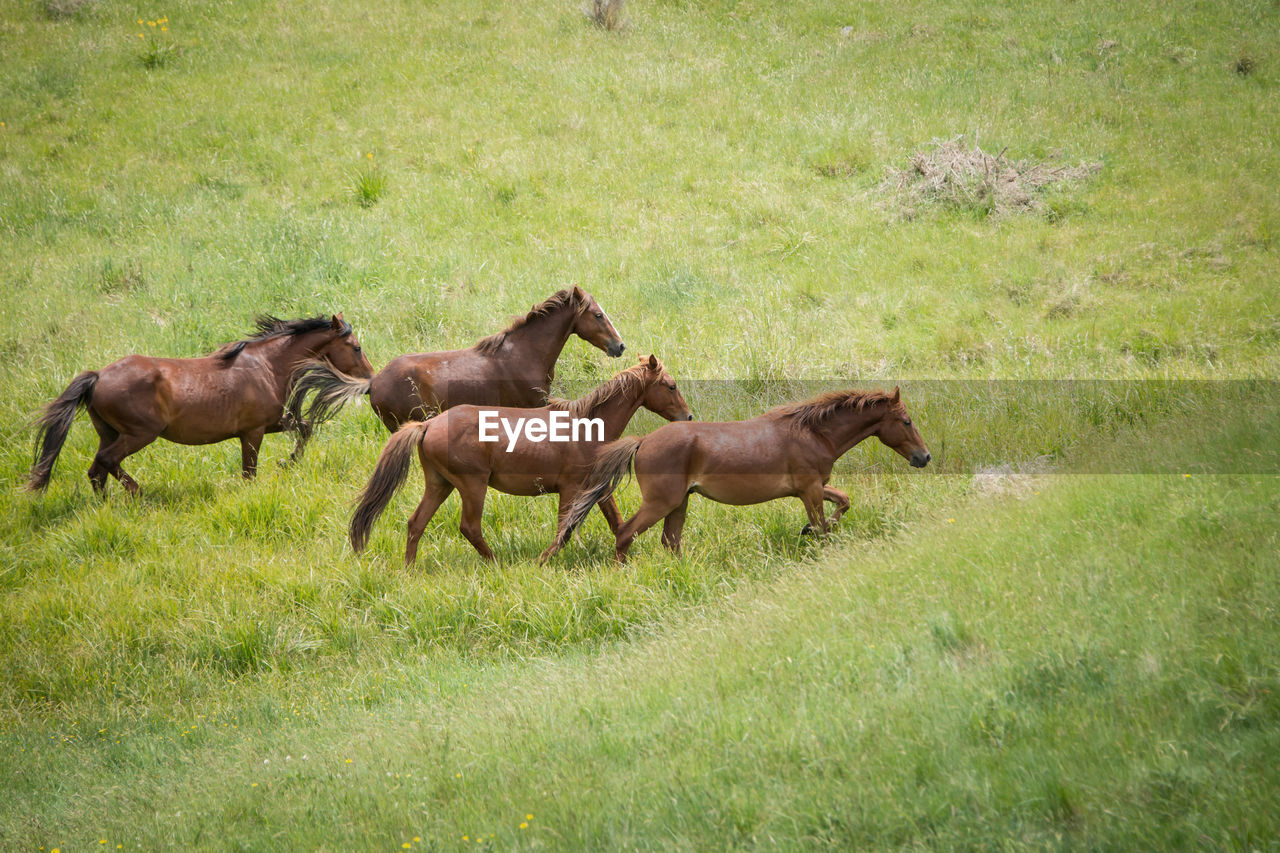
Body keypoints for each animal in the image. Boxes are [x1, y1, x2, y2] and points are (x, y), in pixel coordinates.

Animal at [27, 315, 373, 494]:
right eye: (356, 347)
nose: (371, 381)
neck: (268, 366)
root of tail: (97, 376)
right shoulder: (253, 431)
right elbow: (249, 471)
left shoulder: (273, 422)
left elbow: (305, 429)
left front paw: (287, 462)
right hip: (138, 434)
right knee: (107, 462)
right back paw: (138, 494)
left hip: (109, 432)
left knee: (96, 471)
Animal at [348, 353, 691, 563]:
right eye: (671, 386)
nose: (687, 416)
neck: (588, 425)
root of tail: (428, 425)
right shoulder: (570, 489)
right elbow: (565, 530)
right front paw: (543, 562)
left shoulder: (599, 487)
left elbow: (617, 522)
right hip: (472, 485)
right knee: (469, 528)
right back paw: (495, 564)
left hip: (440, 484)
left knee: (416, 523)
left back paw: (410, 570)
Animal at [550, 384, 931, 558]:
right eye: (906, 421)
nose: (924, 457)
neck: (813, 433)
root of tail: (643, 441)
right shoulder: (808, 490)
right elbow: (824, 525)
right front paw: (812, 535)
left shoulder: (811, 487)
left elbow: (843, 501)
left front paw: (807, 530)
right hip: (661, 502)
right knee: (626, 533)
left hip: (679, 503)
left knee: (670, 542)